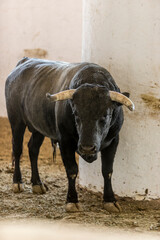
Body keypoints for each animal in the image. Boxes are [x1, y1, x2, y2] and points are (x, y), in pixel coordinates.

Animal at [5, 58, 134, 214]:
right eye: (76, 114)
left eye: (105, 115)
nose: (87, 148)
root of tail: (25, 61)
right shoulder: (64, 142)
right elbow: (72, 170)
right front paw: (72, 201)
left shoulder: (114, 140)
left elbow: (107, 170)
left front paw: (110, 200)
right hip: (16, 120)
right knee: (17, 150)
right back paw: (17, 182)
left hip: (38, 128)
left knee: (33, 149)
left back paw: (37, 183)